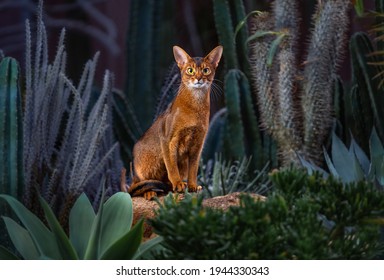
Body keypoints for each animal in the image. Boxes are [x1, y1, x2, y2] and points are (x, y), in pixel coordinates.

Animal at [121, 45, 224, 199]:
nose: (198, 79)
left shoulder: (198, 144)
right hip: (144, 168)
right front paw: (178, 183)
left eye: (206, 70)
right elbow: (171, 166)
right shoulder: (167, 139)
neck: (195, 109)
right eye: (190, 70)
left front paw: (192, 185)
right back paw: (151, 192)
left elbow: (194, 169)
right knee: (140, 185)